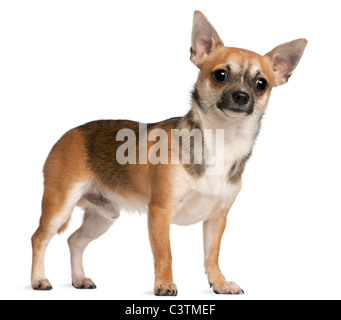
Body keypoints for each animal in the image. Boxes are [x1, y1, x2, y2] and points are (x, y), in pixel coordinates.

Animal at [31, 10, 306, 296]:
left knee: (75, 240)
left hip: (103, 215)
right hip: (60, 204)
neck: (223, 139)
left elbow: (212, 255)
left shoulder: (217, 219)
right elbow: (165, 254)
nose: (242, 96)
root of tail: (68, 134)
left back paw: (79, 278)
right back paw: (39, 279)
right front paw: (164, 284)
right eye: (220, 75)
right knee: (39, 238)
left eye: (261, 84)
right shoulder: (160, 212)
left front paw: (219, 283)